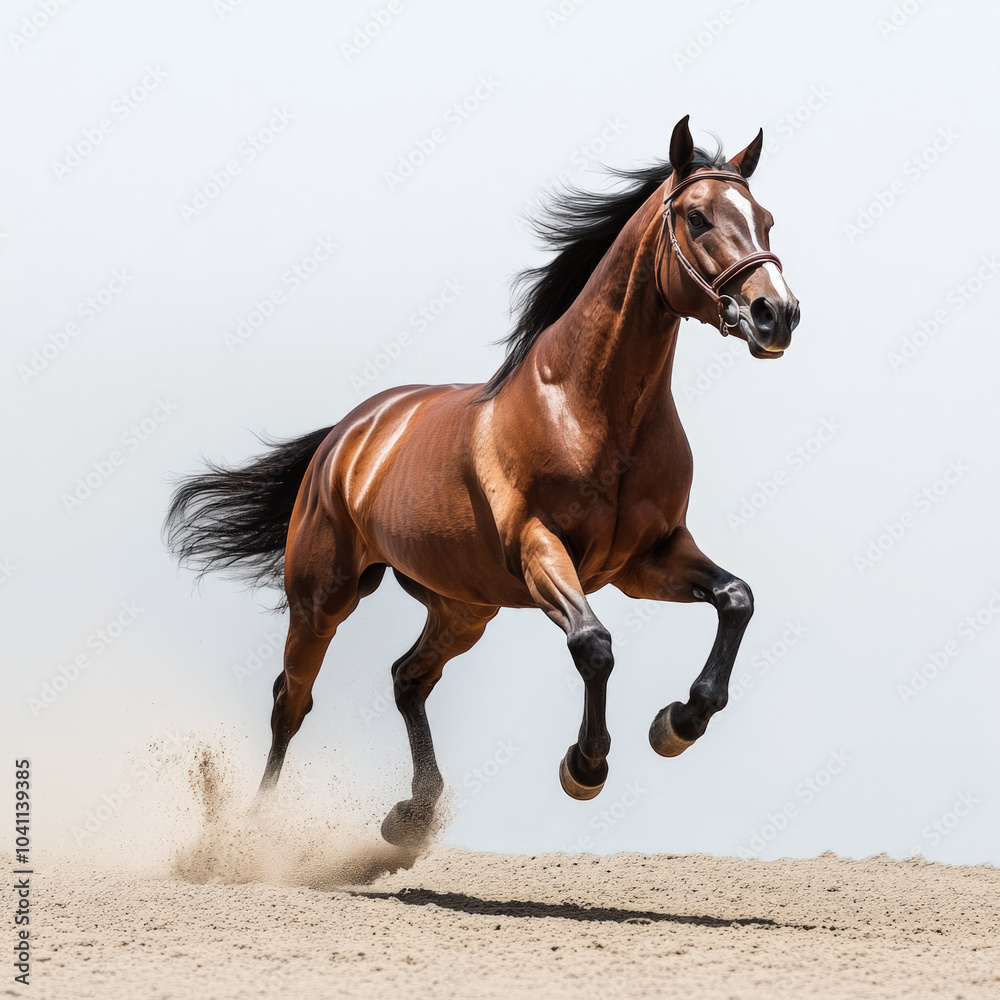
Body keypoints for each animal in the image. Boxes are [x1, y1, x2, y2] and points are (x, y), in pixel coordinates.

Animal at [165, 116, 800, 847]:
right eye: (697, 217)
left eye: (766, 219)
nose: (776, 314)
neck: (593, 409)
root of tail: (349, 434)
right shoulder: (539, 549)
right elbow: (594, 645)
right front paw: (585, 767)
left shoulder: (648, 558)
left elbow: (736, 599)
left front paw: (678, 723)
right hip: (323, 597)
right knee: (290, 701)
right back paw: (251, 837)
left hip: (462, 607)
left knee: (407, 679)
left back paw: (411, 815)